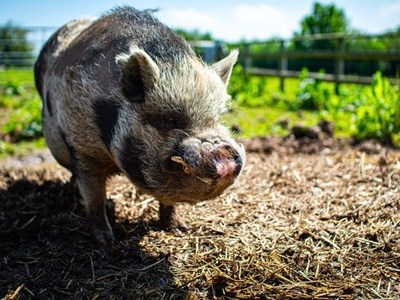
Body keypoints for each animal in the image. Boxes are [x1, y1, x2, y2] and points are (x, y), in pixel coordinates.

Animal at [34, 5, 245, 245]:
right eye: (169, 119)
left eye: (217, 118)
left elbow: (169, 202)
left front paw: (179, 228)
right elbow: (95, 198)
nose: (225, 153)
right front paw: (107, 242)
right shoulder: (82, 149)